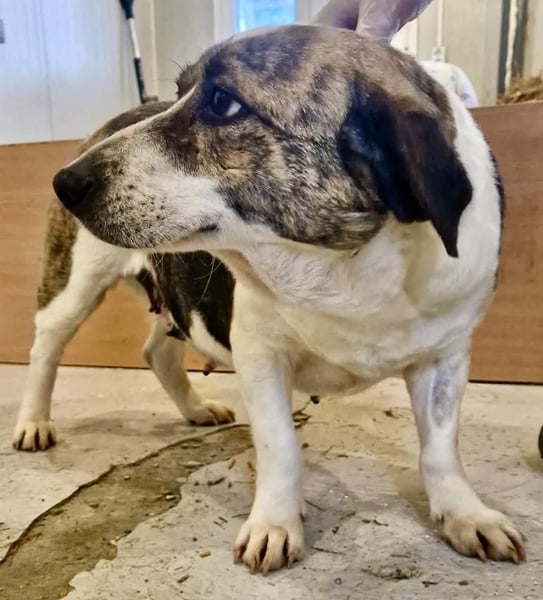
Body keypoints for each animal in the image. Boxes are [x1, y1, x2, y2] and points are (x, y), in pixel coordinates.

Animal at [50, 0, 525, 574]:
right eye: (184, 89)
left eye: (222, 103)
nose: (65, 181)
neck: (343, 261)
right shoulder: (260, 353)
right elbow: (281, 447)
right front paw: (274, 524)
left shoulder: (445, 359)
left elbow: (441, 449)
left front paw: (464, 512)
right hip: (76, 286)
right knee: (46, 345)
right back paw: (32, 424)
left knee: (158, 352)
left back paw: (194, 408)